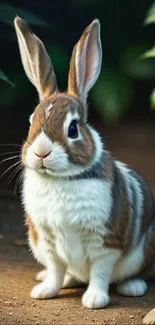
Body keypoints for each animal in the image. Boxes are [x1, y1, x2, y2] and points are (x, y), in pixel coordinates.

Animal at [14, 15, 155, 308]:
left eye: (73, 129)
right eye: (31, 122)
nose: (41, 153)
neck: (61, 179)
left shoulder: (104, 241)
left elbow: (100, 272)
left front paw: (94, 300)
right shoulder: (48, 242)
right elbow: (56, 269)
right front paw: (45, 291)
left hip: (143, 253)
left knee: (136, 273)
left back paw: (132, 287)